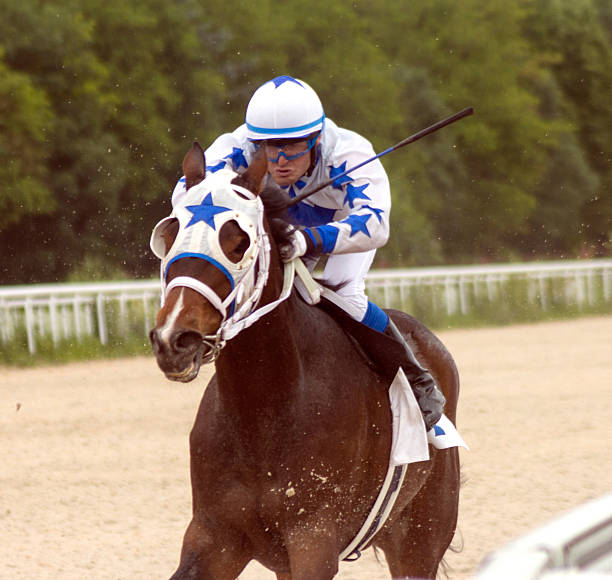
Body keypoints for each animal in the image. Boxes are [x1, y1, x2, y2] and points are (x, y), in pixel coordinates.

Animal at [151, 142, 462, 580]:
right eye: (170, 234)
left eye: (238, 243)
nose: (175, 339)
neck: (264, 411)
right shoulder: (214, 536)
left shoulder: (313, 537)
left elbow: (370, 217)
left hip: (421, 535)